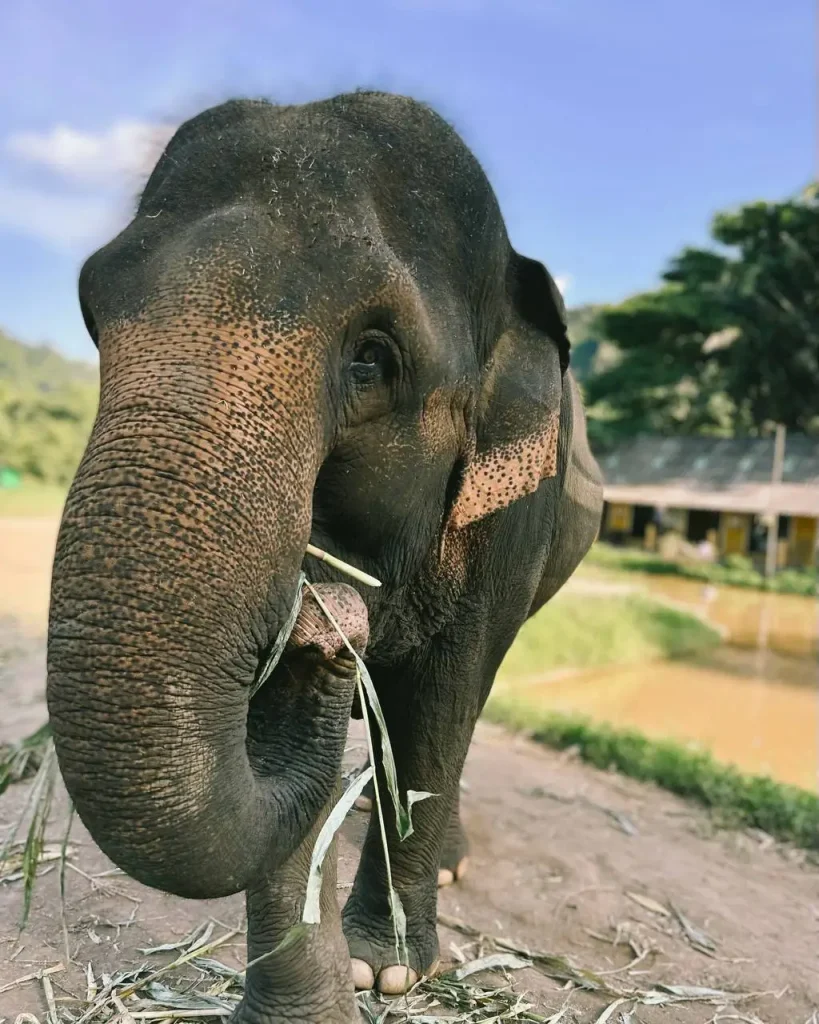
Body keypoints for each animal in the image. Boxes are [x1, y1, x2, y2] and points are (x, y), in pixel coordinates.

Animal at [46, 90, 604, 1024]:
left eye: (372, 358)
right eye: (91, 314)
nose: (324, 642)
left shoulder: (513, 517)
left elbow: (445, 695)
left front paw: (387, 972)